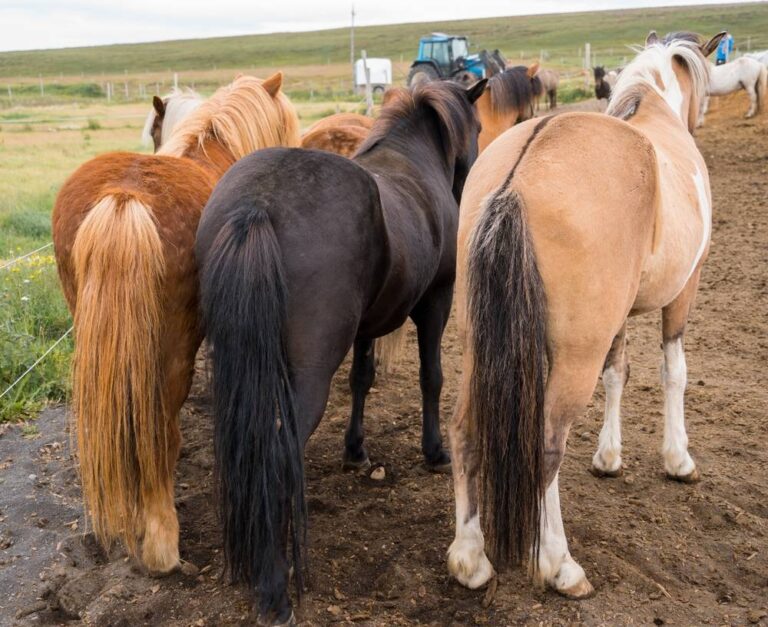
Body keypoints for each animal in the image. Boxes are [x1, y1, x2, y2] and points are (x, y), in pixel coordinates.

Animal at [194, 78, 486, 624]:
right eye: (478, 126)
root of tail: (258, 204)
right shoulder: (435, 302)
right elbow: (431, 376)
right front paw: (434, 450)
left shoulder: (368, 323)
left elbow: (362, 379)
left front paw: (355, 450)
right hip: (305, 379)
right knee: (276, 452)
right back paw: (273, 588)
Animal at [446, 30, 724, 600]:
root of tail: (517, 178)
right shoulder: (684, 292)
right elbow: (674, 372)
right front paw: (677, 459)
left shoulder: (616, 320)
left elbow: (619, 373)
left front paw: (609, 457)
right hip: (574, 359)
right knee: (547, 449)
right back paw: (559, 565)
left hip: (476, 344)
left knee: (463, 432)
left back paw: (470, 559)